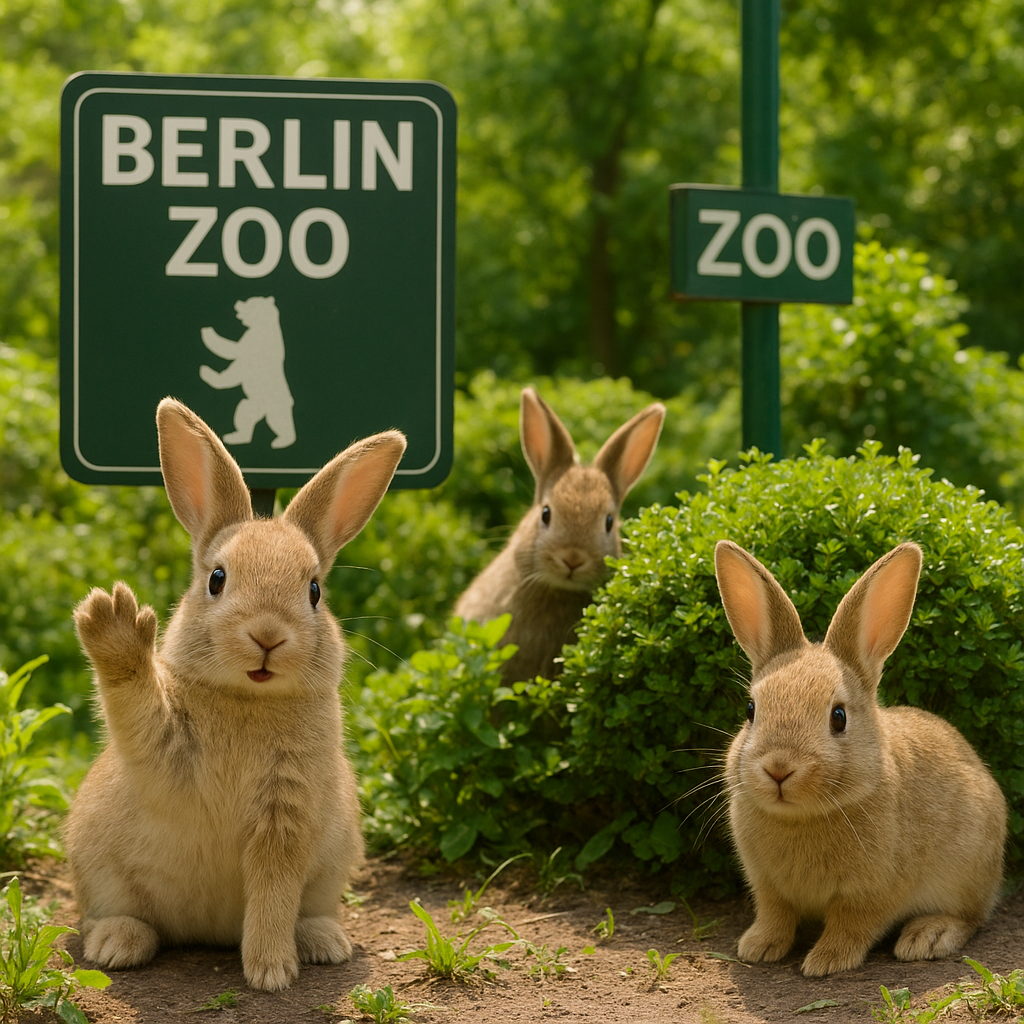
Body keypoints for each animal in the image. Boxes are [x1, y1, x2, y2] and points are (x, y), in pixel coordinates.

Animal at [64, 398, 406, 992]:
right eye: (217, 579)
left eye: (314, 590)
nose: (267, 636)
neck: (249, 700)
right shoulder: (165, 755)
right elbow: (135, 707)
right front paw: (114, 620)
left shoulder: (285, 817)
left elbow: (273, 892)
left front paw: (270, 972)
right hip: (98, 870)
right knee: (113, 915)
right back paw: (116, 945)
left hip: (332, 868)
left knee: (307, 908)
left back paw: (323, 942)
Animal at [713, 539, 1007, 977]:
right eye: (751, 710)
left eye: (839, 717)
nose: (778, 768)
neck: (803, 817)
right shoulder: (767, 887)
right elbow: (775, 915)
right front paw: (758, 948)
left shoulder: (872, 892)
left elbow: (852, 924)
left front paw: (826, 962)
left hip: (968, 872)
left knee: (971, 917)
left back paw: (927, 936)